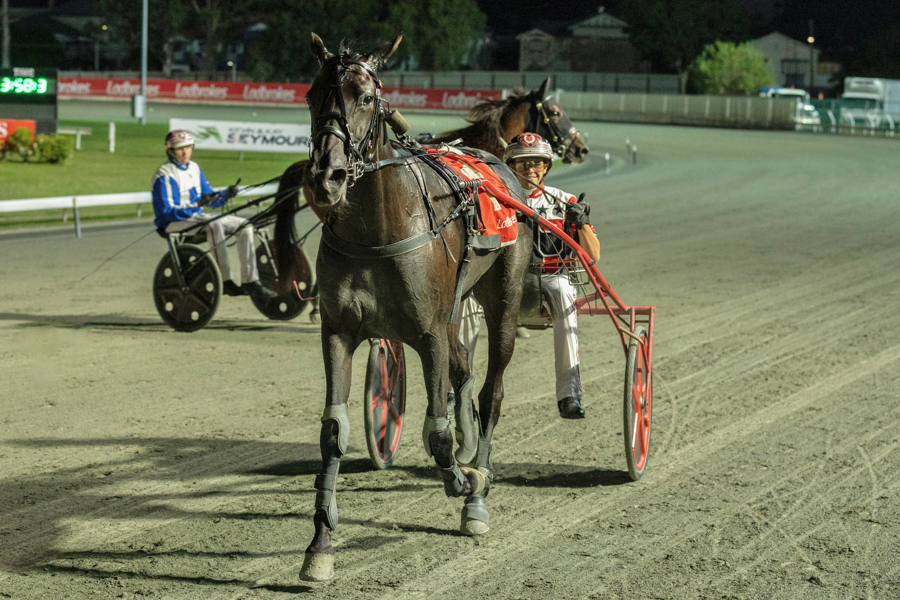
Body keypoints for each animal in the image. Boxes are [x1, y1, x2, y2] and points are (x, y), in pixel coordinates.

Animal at [283, 33, 534, 582]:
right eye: (311, 95)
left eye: (364, 97)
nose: (325, 178)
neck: (376, 229)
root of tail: (496, 165)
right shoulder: (338, 331)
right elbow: (333, 431)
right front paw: (320, 545)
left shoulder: (428, 334)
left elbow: (436, 432)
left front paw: (464, 482)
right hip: (455, 305)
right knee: (464, 372)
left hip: (503, 299)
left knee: (492, 392)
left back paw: (478, 484)